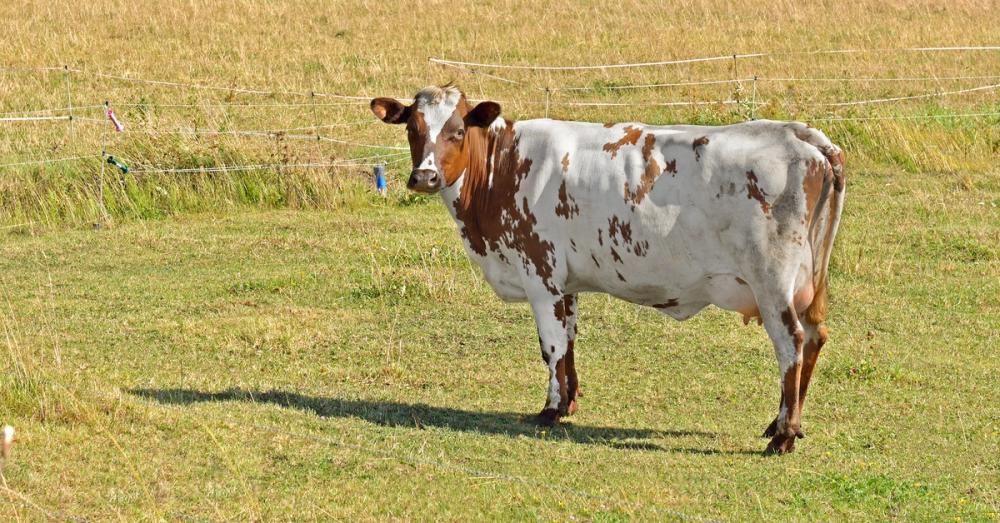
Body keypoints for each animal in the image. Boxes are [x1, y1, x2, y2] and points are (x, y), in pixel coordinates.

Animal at [370, 85, 845, 454]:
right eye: (413, 129)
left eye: (456, 131)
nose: (425, 177)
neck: (504, 170)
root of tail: (800, 136)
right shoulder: (566, 283)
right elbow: (569, 342)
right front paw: (569, 402)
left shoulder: (540, 275)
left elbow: (551, 347)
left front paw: (550, 411)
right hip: (808, 282)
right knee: (815, 337)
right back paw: (784, 425)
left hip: (772, 283)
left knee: (791, 344)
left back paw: (782, 437)